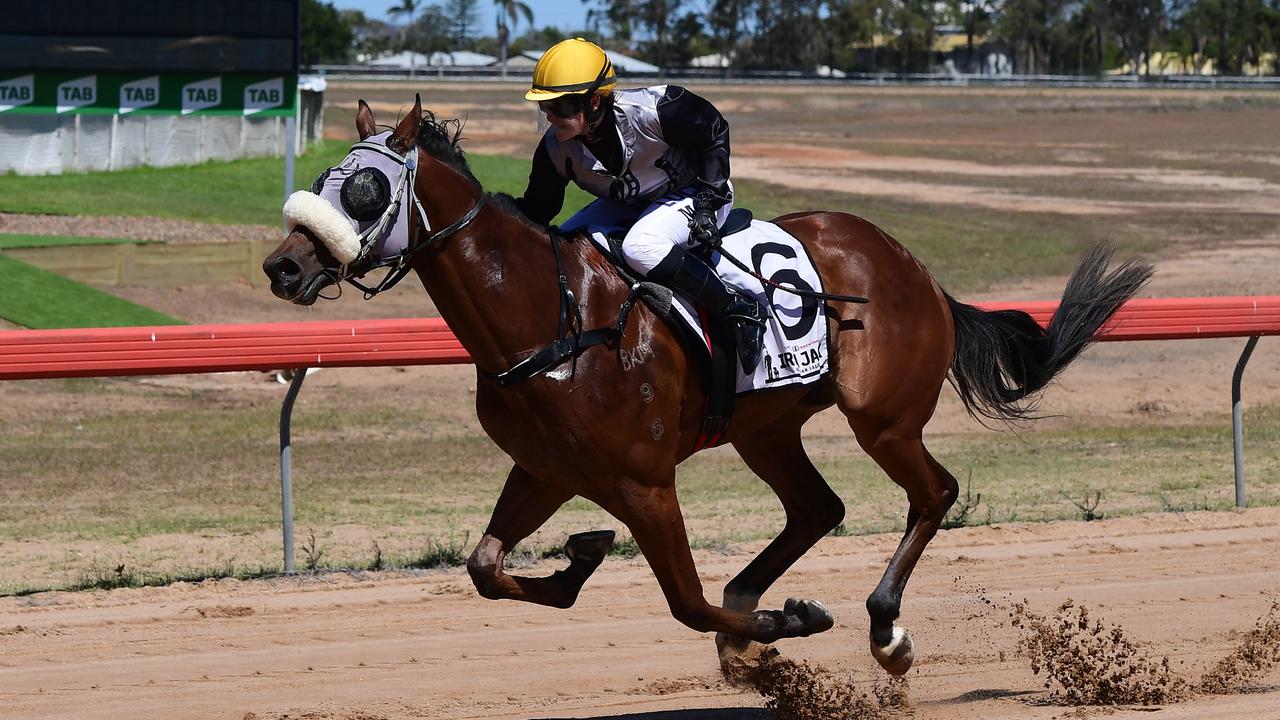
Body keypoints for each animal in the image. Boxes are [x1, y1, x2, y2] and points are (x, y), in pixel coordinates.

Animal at [259, 95, 1152, 671]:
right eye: (326, 175)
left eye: (365, 187)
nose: (283, 266)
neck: (553, 320)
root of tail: (916, 268)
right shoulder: (548, 469)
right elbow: (484, 568)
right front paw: (584, 560)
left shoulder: (645, 483)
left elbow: (685, 602)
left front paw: (786, 619)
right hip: (767, 428)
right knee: (818, 507)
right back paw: (756, 606)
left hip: (883, 418)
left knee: (933, 492)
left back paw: (882, 631)